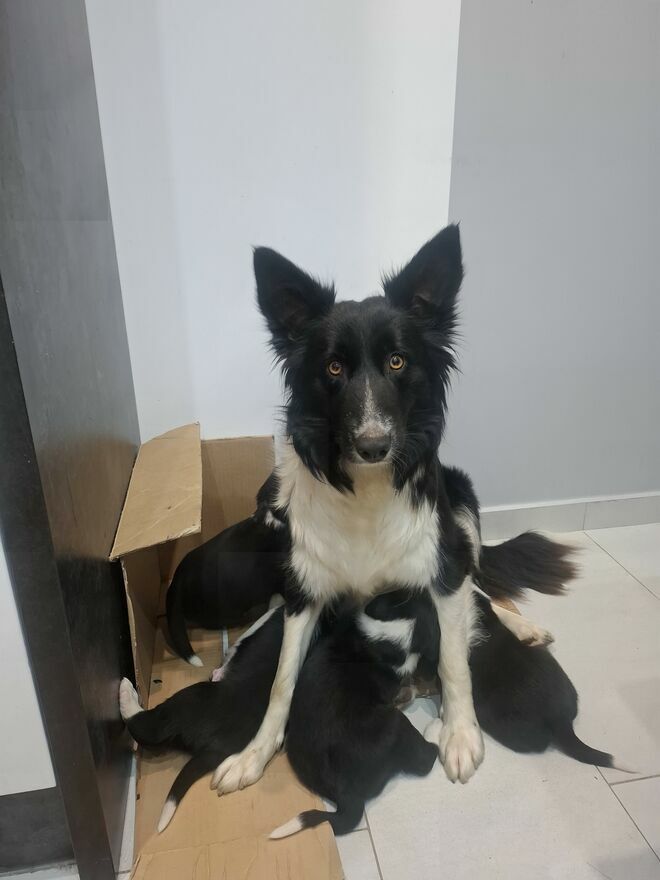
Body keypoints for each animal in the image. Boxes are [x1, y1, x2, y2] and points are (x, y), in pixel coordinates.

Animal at [210, 225, 576, 793]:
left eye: (398, 362)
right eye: (334, 367)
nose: (374, 446)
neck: (367, 491)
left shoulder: (441, 571)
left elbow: (454, 661)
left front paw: (460, 734)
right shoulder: (305, 590)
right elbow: (282, 680)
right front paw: (254, 753)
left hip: (462, 506)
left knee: (482, 586)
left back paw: (523, 627)